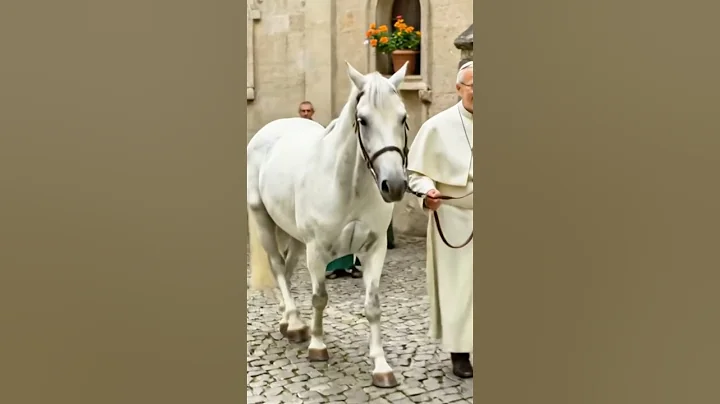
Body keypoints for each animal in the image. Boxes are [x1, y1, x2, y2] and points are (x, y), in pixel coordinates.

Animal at [247, 61, 410, 388]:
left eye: (403, 117)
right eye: (363, 120)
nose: (395, 185)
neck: (348, 186)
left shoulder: (375, 248)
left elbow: (373, 305)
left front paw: (381, 366)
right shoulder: (318, 250)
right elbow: (319, 297)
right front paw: (318, 346)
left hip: (294, 235)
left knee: (287, 266)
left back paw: (288, 320)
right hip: (263, 220)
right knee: (277, 266)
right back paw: (297, 324)